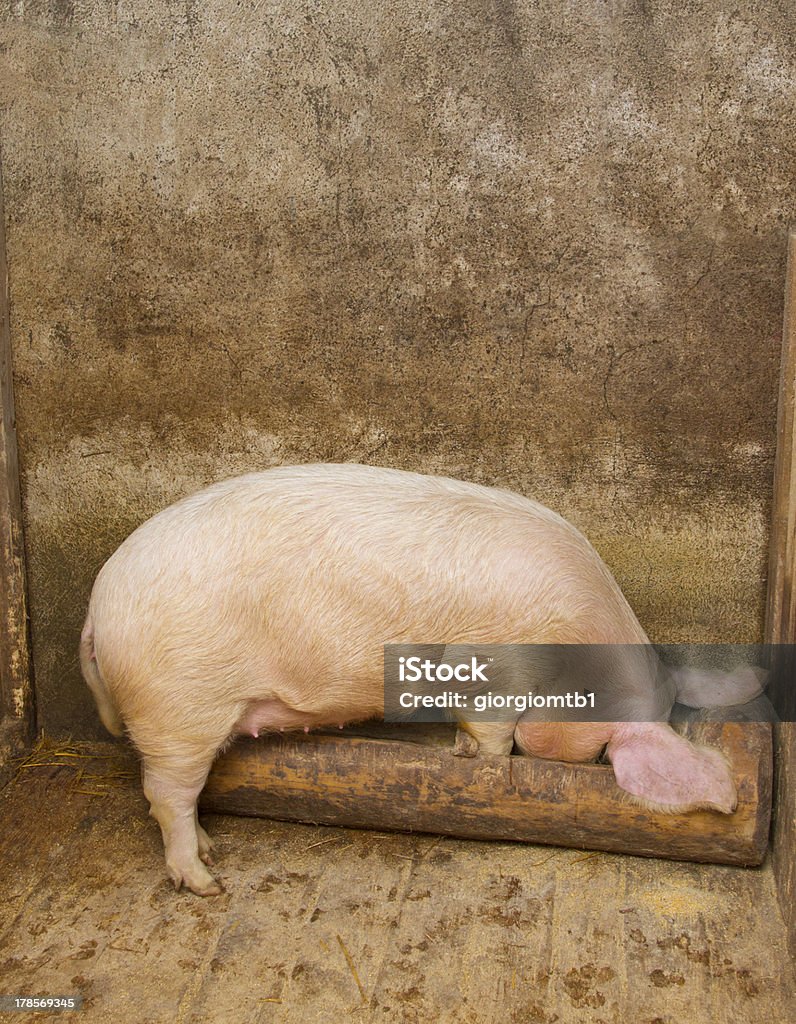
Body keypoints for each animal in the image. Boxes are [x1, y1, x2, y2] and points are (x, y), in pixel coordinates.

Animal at [79, 464, 758, 897]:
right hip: (177, 709)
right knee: (165, 795)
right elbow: (495, 735)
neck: (576, 656)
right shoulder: (495, 671)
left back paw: (212, 850)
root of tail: (97, 608)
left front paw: (457, 751)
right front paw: (484, 763)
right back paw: (206, 883)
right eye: (598, 754)